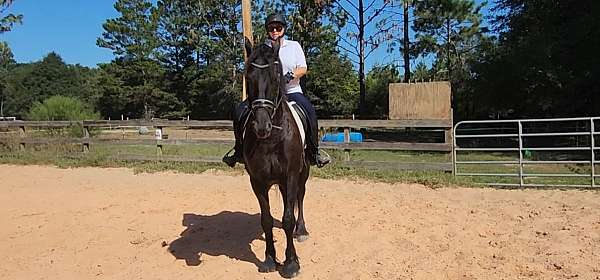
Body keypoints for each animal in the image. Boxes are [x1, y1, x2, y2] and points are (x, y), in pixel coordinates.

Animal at [243, 37, 312, 278]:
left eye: (275, 77)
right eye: (248, 77)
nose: (261, 126)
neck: (272, 138)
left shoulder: (291, 175)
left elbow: (288, 218)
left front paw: (291, 263)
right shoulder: (257, 181)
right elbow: (266, 221)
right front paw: (270, 259)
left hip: (302, 173)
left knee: (299, 198)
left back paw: (302, 230)